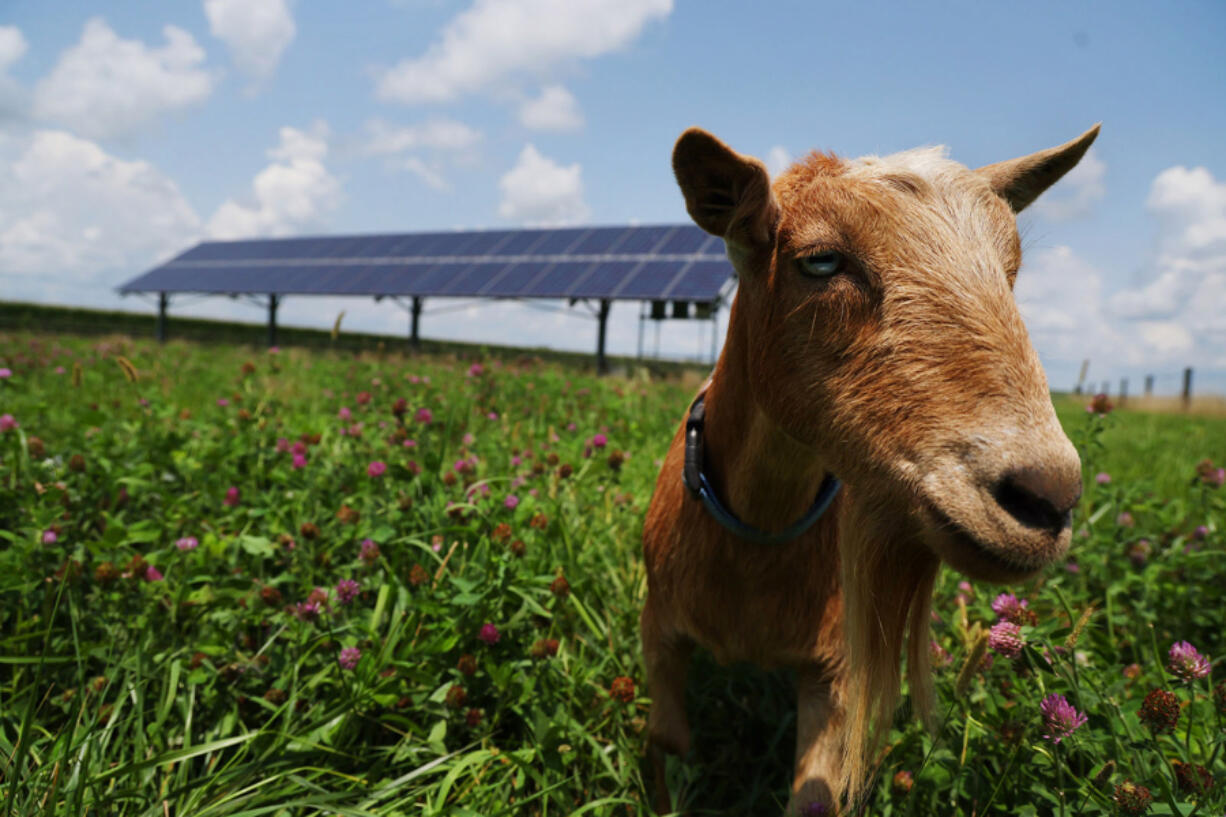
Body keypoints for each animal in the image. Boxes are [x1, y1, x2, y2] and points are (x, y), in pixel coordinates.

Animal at [642, 122, 1103, 809]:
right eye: (821, 260)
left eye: (1011, 269)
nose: (1047, 496)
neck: (756, 538)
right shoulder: (659, 630)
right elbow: (668, 743)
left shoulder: (833, 670)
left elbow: (814, 796)